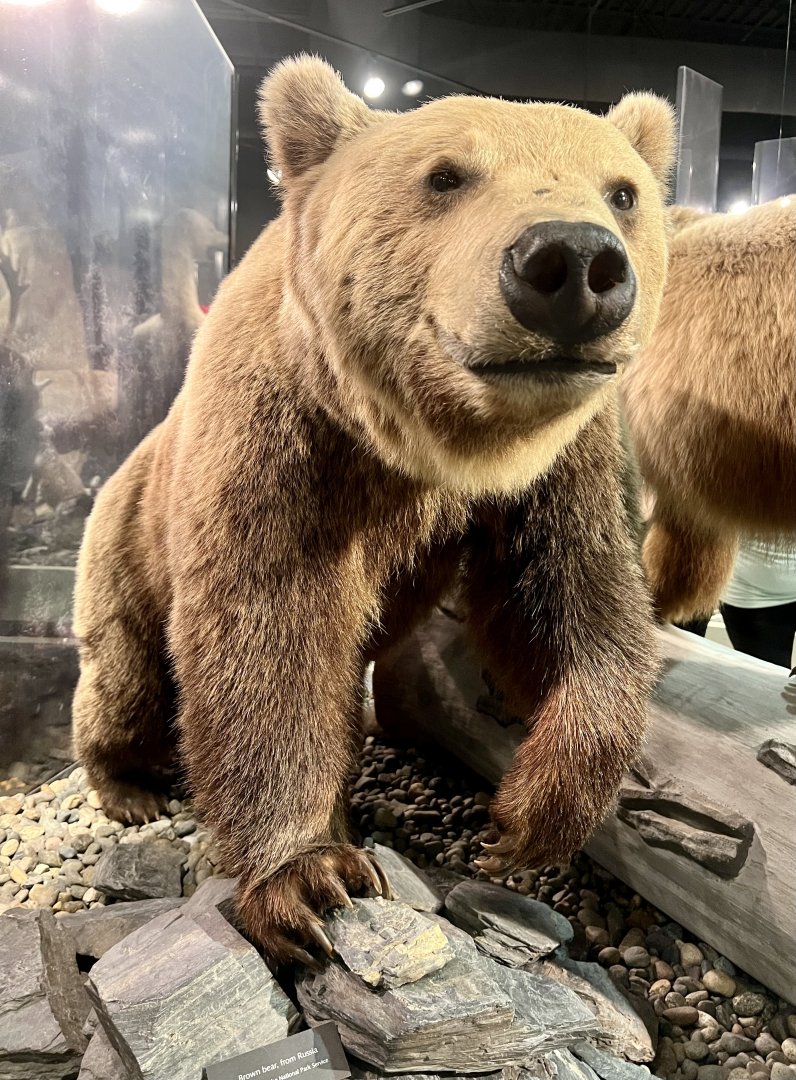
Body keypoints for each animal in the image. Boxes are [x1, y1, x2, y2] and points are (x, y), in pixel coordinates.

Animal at [72, 56, 675, 965]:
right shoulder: (286, 444)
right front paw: (308, 876)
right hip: (126, 544)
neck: (430, 448)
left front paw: (524, 821)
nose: (572, 259)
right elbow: (266, 635)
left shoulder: (562, 465)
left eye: (623, 192)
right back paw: (129, 785)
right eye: (446, 175)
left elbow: (572, 605)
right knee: (127, 679)